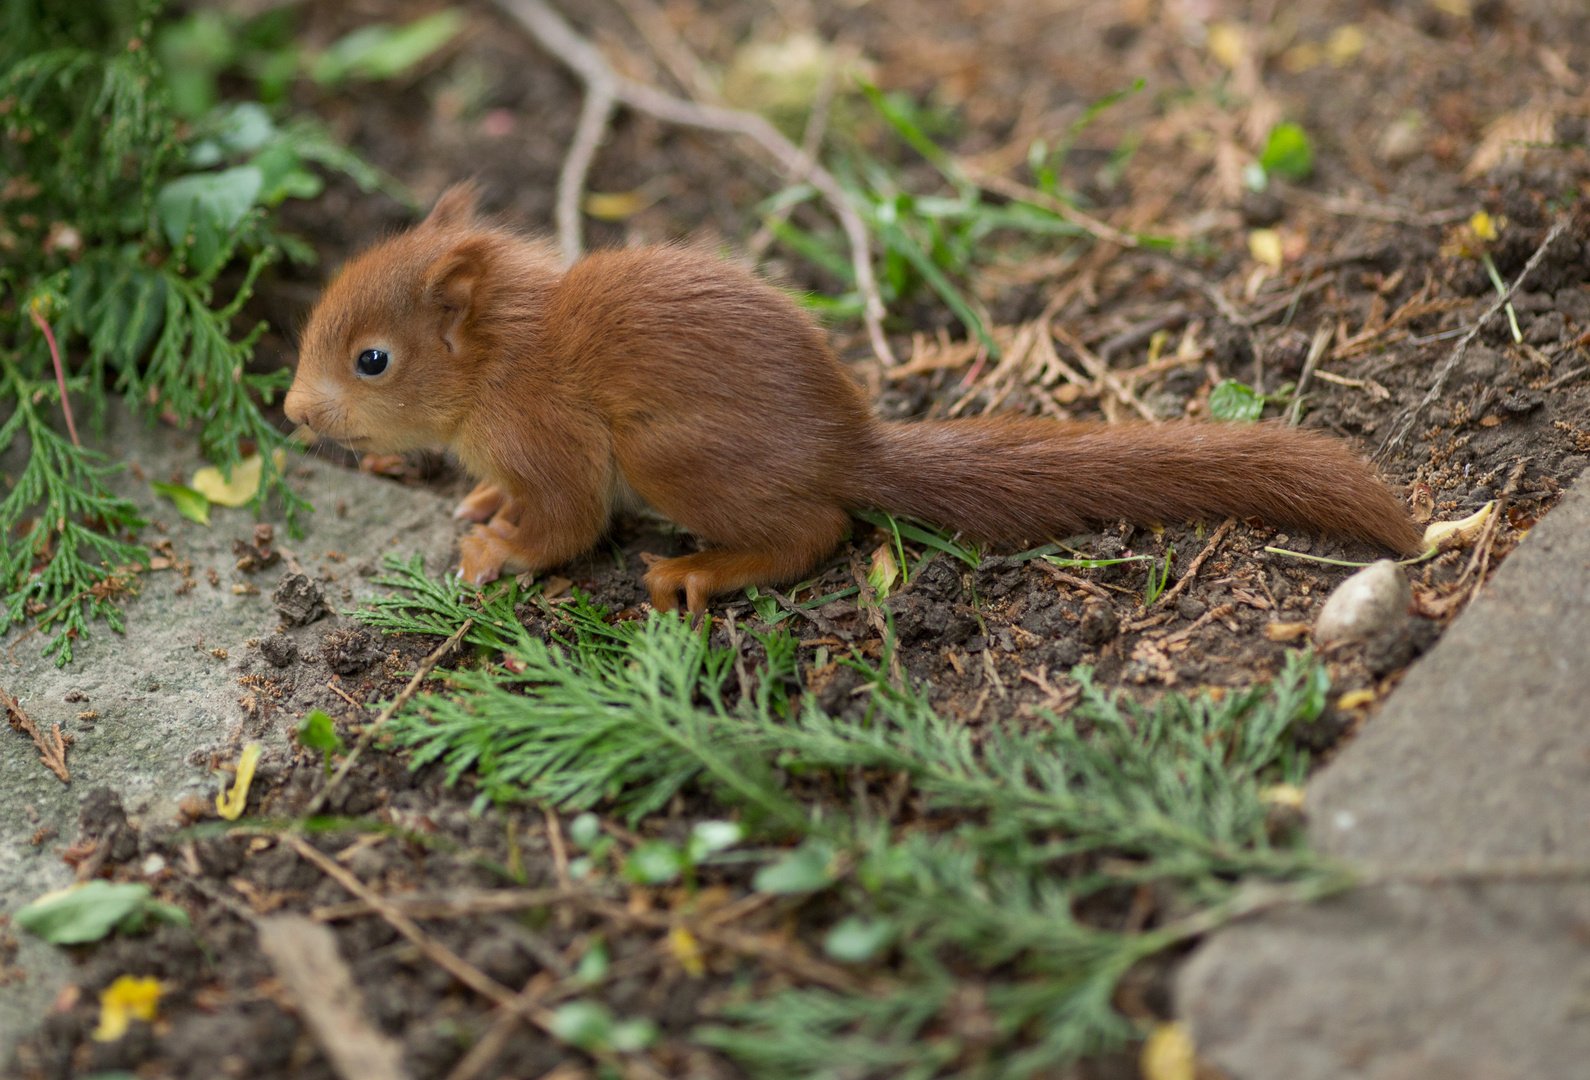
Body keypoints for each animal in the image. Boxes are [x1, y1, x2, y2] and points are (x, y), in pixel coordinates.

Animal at [283, 181, 1418, 613]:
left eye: (372, 360)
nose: (292, 413)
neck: (499, 363)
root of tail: (847, 447)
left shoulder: (549, 436)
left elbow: (562, 522)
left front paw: (494, 551)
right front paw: (481, 504)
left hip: (670, 456)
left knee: (813, 531)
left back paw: (702, 571)